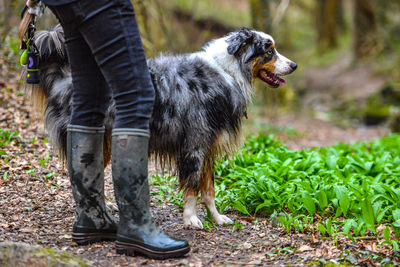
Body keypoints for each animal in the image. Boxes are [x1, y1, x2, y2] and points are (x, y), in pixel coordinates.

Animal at [29, 25, 296, 229]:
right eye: (269, 51)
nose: (294, 65)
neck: (227, 71)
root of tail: (64, 78)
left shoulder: (208, 147)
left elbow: (209, 189)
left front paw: (217, 218)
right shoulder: (194, 145)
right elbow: (192, 187)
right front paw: (191, 219)